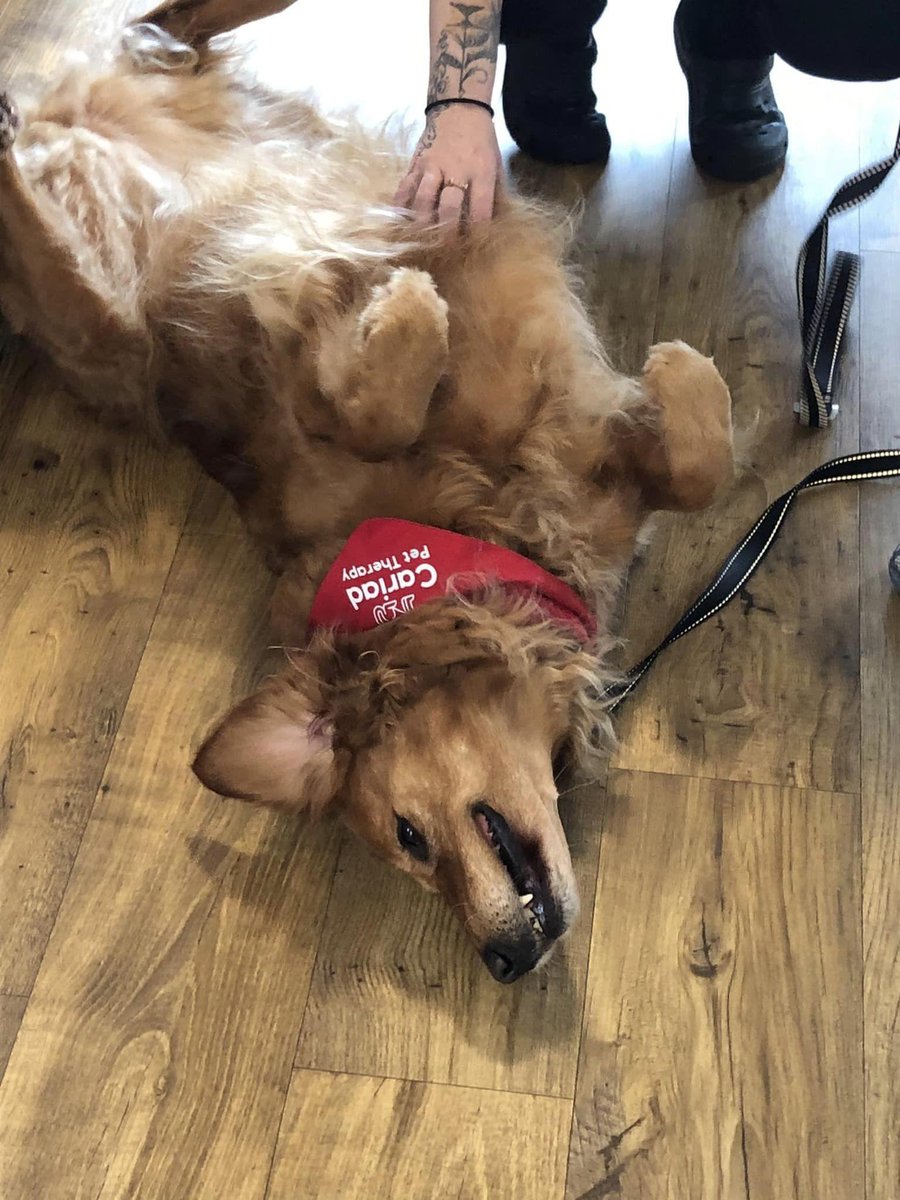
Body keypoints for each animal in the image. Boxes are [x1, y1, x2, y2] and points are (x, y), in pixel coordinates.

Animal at [0, 0, 734, 984]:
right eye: (410, 842)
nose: (505, 961)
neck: (472, 538)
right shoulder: (287, 380)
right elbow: (378, 406)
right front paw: (415, 307)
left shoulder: (598, 468)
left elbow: (700, 467)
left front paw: (677, 368)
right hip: (112, 338)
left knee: (166, 26)